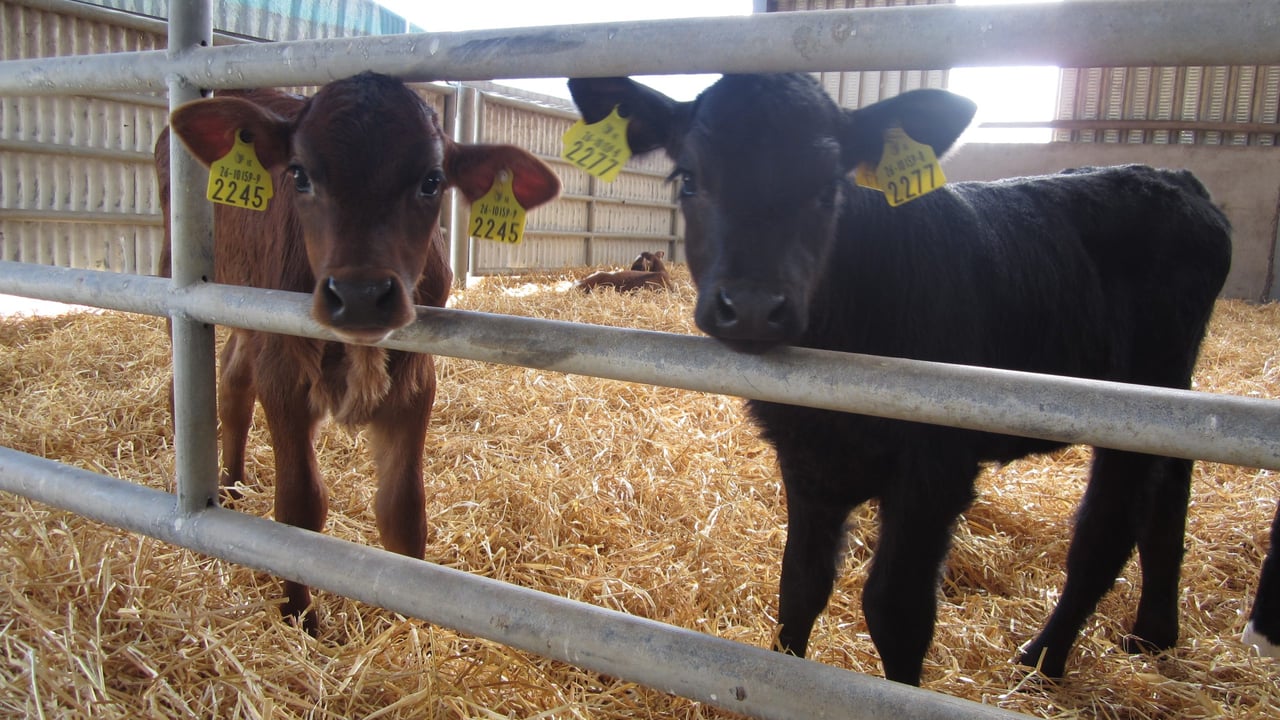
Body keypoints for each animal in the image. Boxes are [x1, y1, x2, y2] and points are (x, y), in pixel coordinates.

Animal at [156, 72, 561, 630]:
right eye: (299, 174)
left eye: (432, 180)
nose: (362, 294)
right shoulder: (284, 372)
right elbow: (299, 508)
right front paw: (300, 618)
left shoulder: (415, 380)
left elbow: (404, 511)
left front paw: (411, 622)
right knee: (188, 382)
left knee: (235, 383)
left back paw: (233, 485)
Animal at [568, 73, 1232, 685]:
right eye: (689, 178)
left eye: (829, 186)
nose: (753, 306)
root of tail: (1179, 179)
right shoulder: (804, 456)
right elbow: (800, 585)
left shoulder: (937, 465)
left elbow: (897, 611)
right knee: (1171, 486)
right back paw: (1153, 634)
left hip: (1139, 394)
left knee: (1106, 528)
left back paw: (1044, 657)